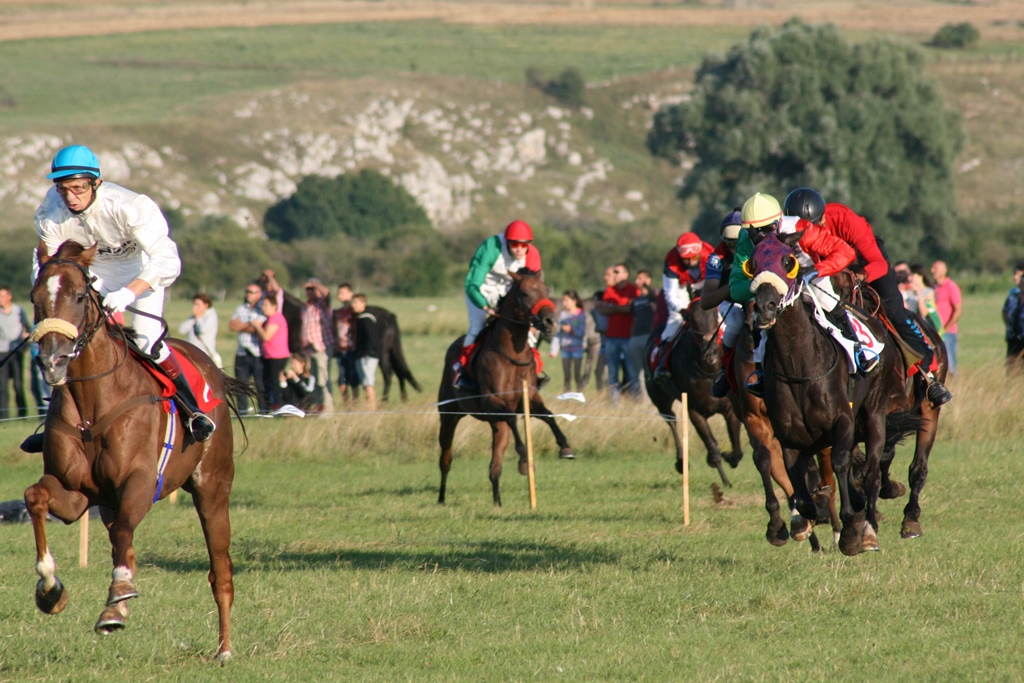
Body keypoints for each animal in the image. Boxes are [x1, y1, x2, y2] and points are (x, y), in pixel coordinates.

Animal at [24, 241, 252, 663]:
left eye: (79, 296)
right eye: (35, 298)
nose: (52, 360)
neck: (93, 403)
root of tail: (209, 365)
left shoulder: (142, 483)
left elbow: (126, 533)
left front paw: (115, 601)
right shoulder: (77, 492)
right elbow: (36, 498)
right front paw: (50, 588)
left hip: (212, 488)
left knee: (220, 570)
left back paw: (225, 649)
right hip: (109, 503)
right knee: (121, 540)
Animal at [437, 270, 574, 506]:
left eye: (546, 291)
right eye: (525, 293)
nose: (550, 322)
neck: (513, 355)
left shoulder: (530, 399)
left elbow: (548, 415)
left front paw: (565, 447)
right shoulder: (491, 401)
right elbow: (511, 417)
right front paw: (524, 459)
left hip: (495, 426)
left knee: (495, 466)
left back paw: (497, 502)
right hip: (449, 415)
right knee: (445, 459)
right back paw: (441, 499)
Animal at [644, 300, 744, 487]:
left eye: (717, 318)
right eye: (692, 322)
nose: (710, 355)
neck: (708, 372)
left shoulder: (729, 409)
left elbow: (736, 448)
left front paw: (729, 458)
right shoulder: (694, 410)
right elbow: (711, 445)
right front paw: (723, 476)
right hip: (660, 399)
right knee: (671, 421)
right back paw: (681, 461)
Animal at [749, 232, 941, 555]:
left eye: (788, 262)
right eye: (750, 263)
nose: (765, 307)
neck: (799, 365)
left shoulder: (843, 421)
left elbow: (843, 464)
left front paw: (851, 529)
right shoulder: (789, 438)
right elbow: (801, 488)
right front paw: (809, 518)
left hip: (888, 412)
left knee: (892, 469)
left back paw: (886, 524)